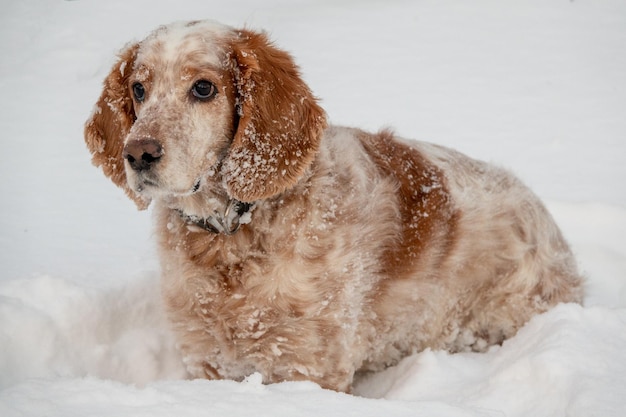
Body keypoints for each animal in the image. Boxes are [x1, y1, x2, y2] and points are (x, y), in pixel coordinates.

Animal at [83, 21, 580, 392]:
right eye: (139, 90)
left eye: (203, 88)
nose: (138, 153)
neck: (234, 234)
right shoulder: (205, 360)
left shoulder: (308, 367)